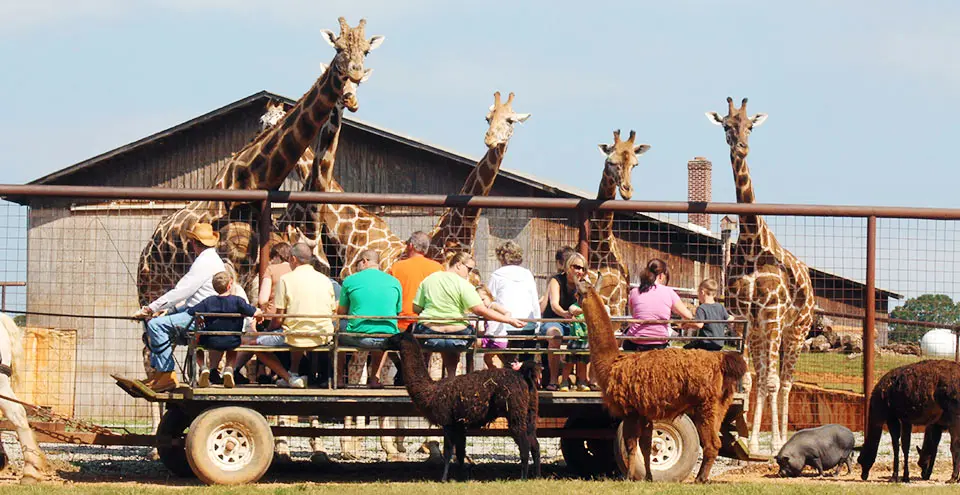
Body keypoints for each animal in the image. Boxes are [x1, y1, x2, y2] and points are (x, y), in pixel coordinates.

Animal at [136, 17, 382, 306]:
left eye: (366, 50)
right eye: (339, 48)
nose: (353, 81)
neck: (253, 180)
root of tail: (149, 244)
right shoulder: (230, 263)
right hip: (149, 286)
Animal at [700, 97, 812, 454]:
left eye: (750, 125)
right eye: (726, 125)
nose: (742, 147)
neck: (751, 242)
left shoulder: (773, 314)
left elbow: (774, 382)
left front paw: (772, 443)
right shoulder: (742, 317)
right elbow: (749, 378)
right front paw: (747, 439)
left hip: (795, 330)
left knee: (786, 382)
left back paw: (783, 438)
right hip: (764, 331)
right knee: (764, 378)